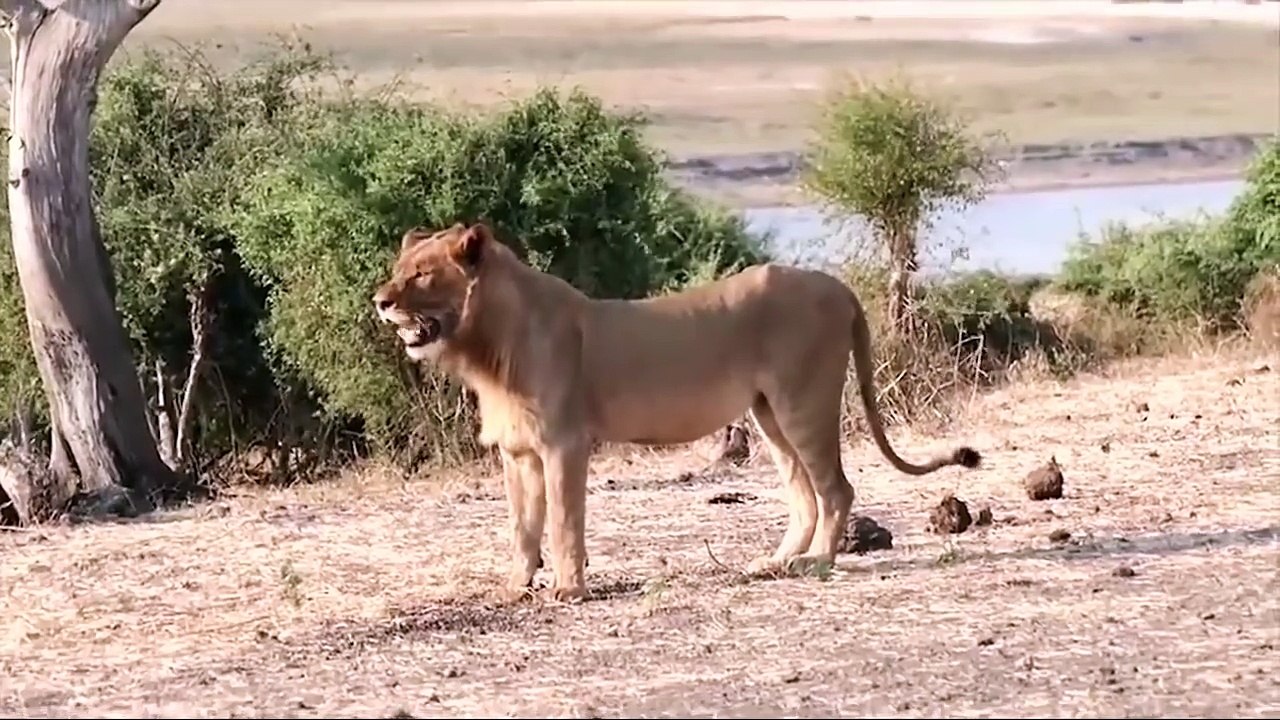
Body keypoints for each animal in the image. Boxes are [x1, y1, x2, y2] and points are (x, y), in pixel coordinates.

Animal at [372, 222, 981, 602]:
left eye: (423, 274)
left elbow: (564, 522)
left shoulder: (564, 443)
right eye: (400, 267)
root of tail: (839, 286)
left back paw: (819, 563)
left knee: (836, 489)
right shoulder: (517, 453)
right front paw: (514, 588)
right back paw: (775, 562)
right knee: (803, 494)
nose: (380, 300)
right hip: (770, 416)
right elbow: (522, 528)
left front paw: (569, 590)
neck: (487, 347)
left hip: (804, 401)